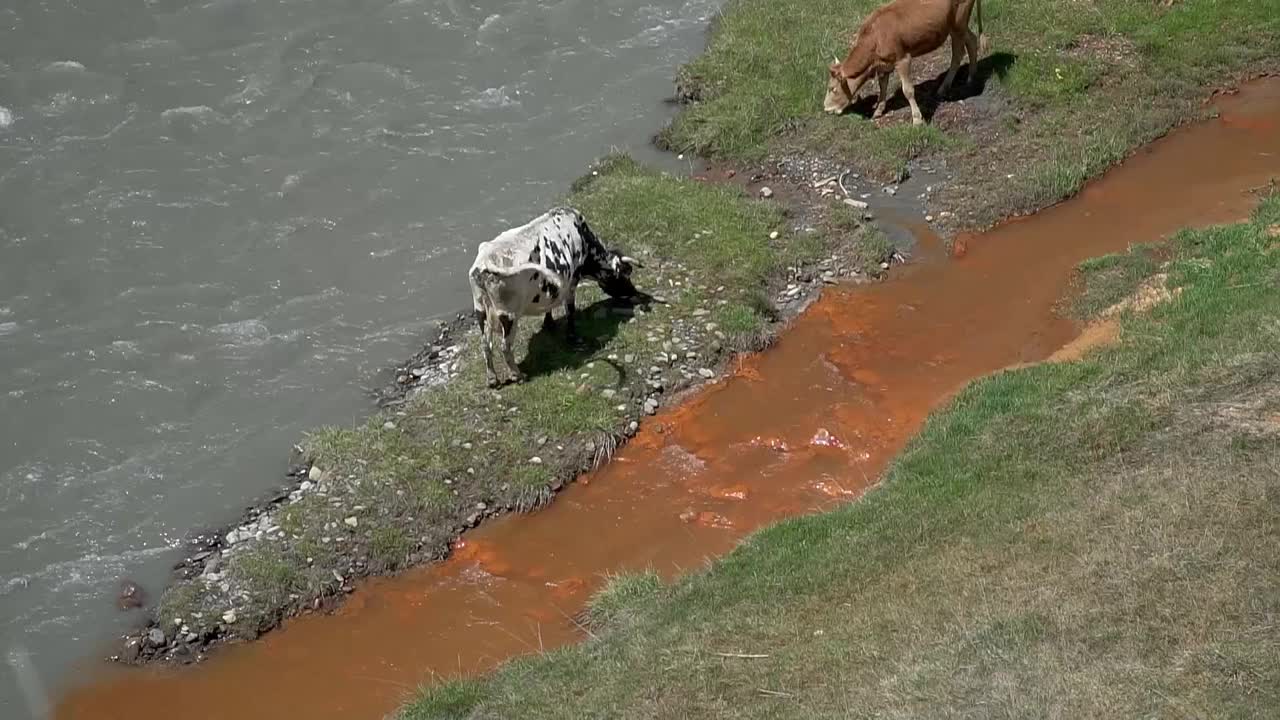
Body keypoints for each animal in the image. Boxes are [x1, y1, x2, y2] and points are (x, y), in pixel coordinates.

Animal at [471, 206, 645, 386]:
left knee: (486, 345)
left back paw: (492, 378)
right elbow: (570, 312)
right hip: (509, 316)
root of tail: (486, 261)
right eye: (625, 274)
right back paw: (517, 375)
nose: (633, 292)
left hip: (480, 310)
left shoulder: (552, 288)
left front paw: (549, 323)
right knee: (504, 347)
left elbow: (550, 306)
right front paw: (573, 337)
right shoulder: (572, 282)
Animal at [819, 0, 988, 124]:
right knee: (972, 40)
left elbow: (908, 90)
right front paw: (878, 111)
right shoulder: (884, 64)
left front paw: (917, 119)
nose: (826, 108)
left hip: (958, 22)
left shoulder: (903, 59)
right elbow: (882, 87)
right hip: (957, 26)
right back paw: (971, 77)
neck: (875, 36)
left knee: (958, 53)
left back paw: (944, 88)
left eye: (832, 88)